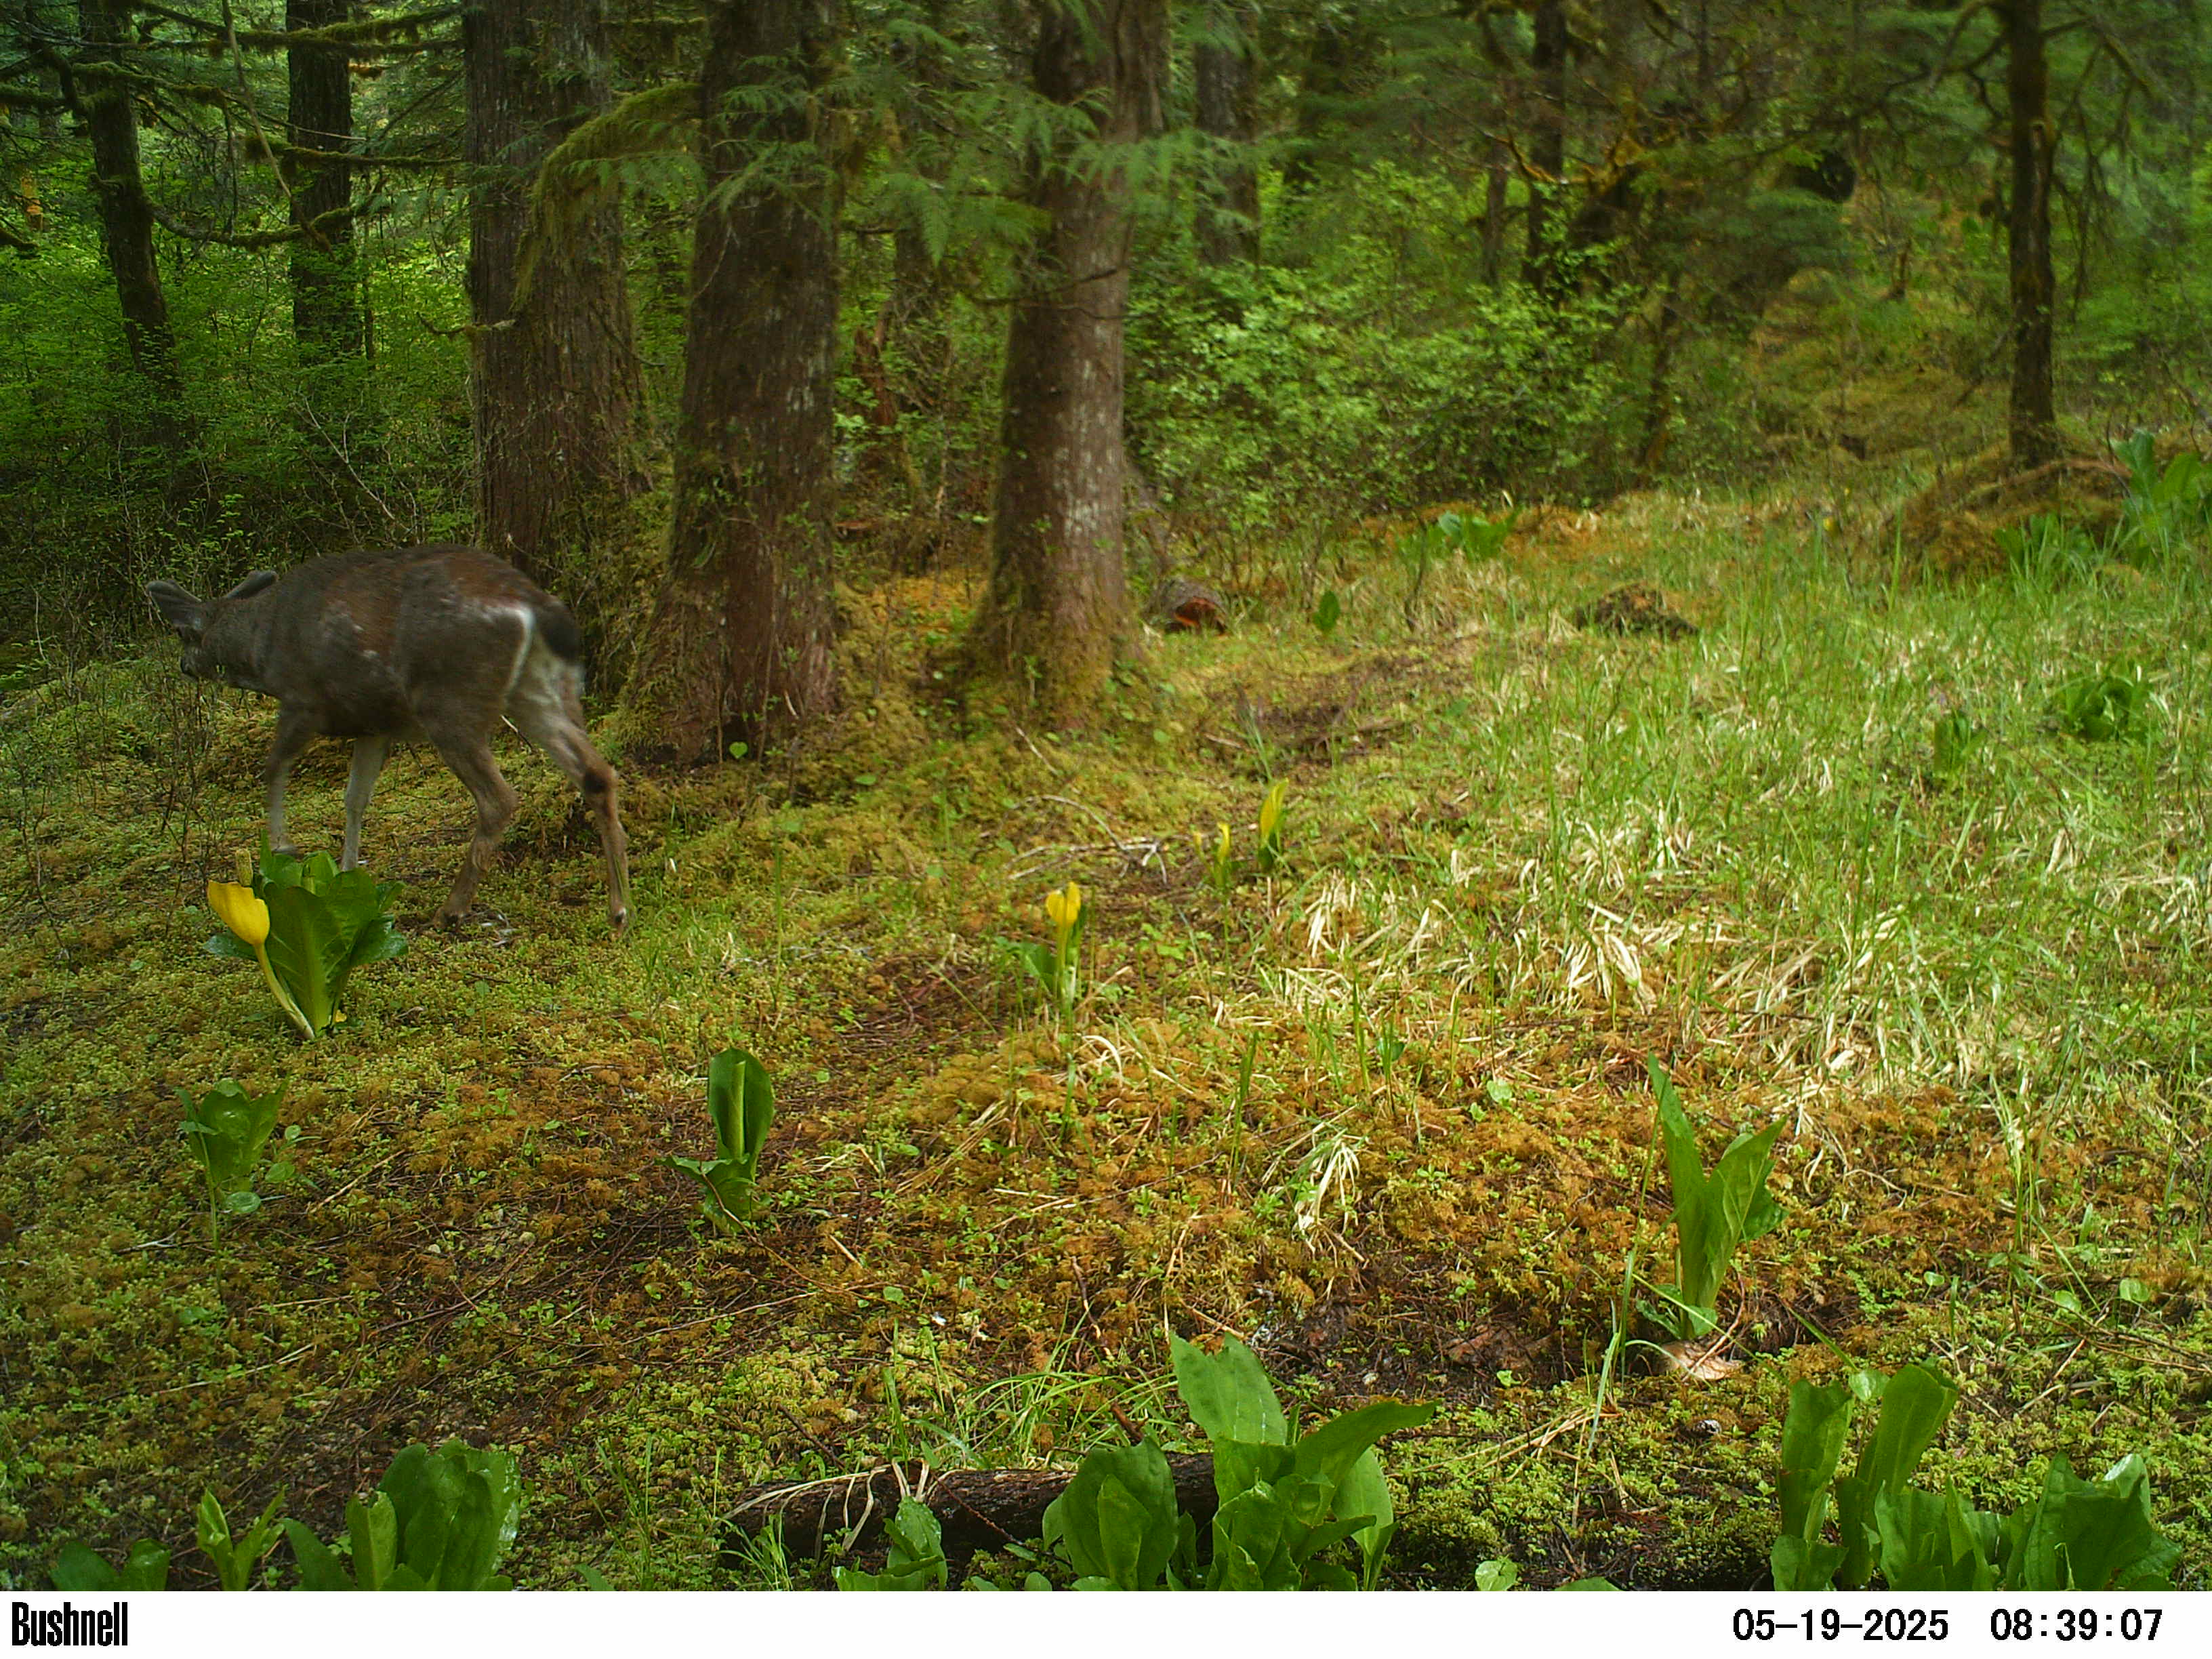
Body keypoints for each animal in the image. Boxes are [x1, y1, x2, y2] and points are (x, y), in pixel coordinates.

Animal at [147, 544, 630, 932]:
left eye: (181, 633)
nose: (184, 666)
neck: (261, 645)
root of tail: (534, 605)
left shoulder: (303, 700)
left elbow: (274, 765)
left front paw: (284, 845)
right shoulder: (374, 726)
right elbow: (355, 799)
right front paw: (345, 876)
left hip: (450, 700)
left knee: (500, 798)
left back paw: (450, 910)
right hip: (538, 689)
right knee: (597, 772)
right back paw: (620, 908)